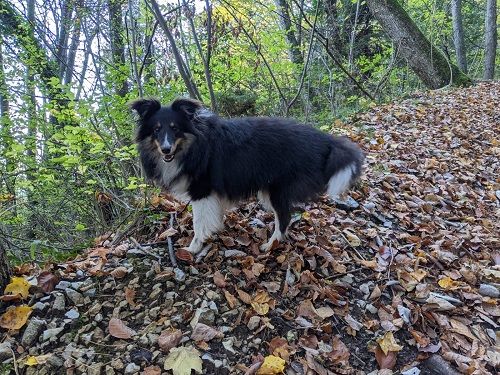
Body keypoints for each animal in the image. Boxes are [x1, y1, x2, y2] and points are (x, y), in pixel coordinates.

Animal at [130, 98, 364, 254]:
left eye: (175, 128)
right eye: (156, 129)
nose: (166, 149)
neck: (193, 146)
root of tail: (324, 140)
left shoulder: (201, 190)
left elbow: (198, 224)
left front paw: (193, 248)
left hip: (276, 189)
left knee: (284, 217)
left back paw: (271, 244)